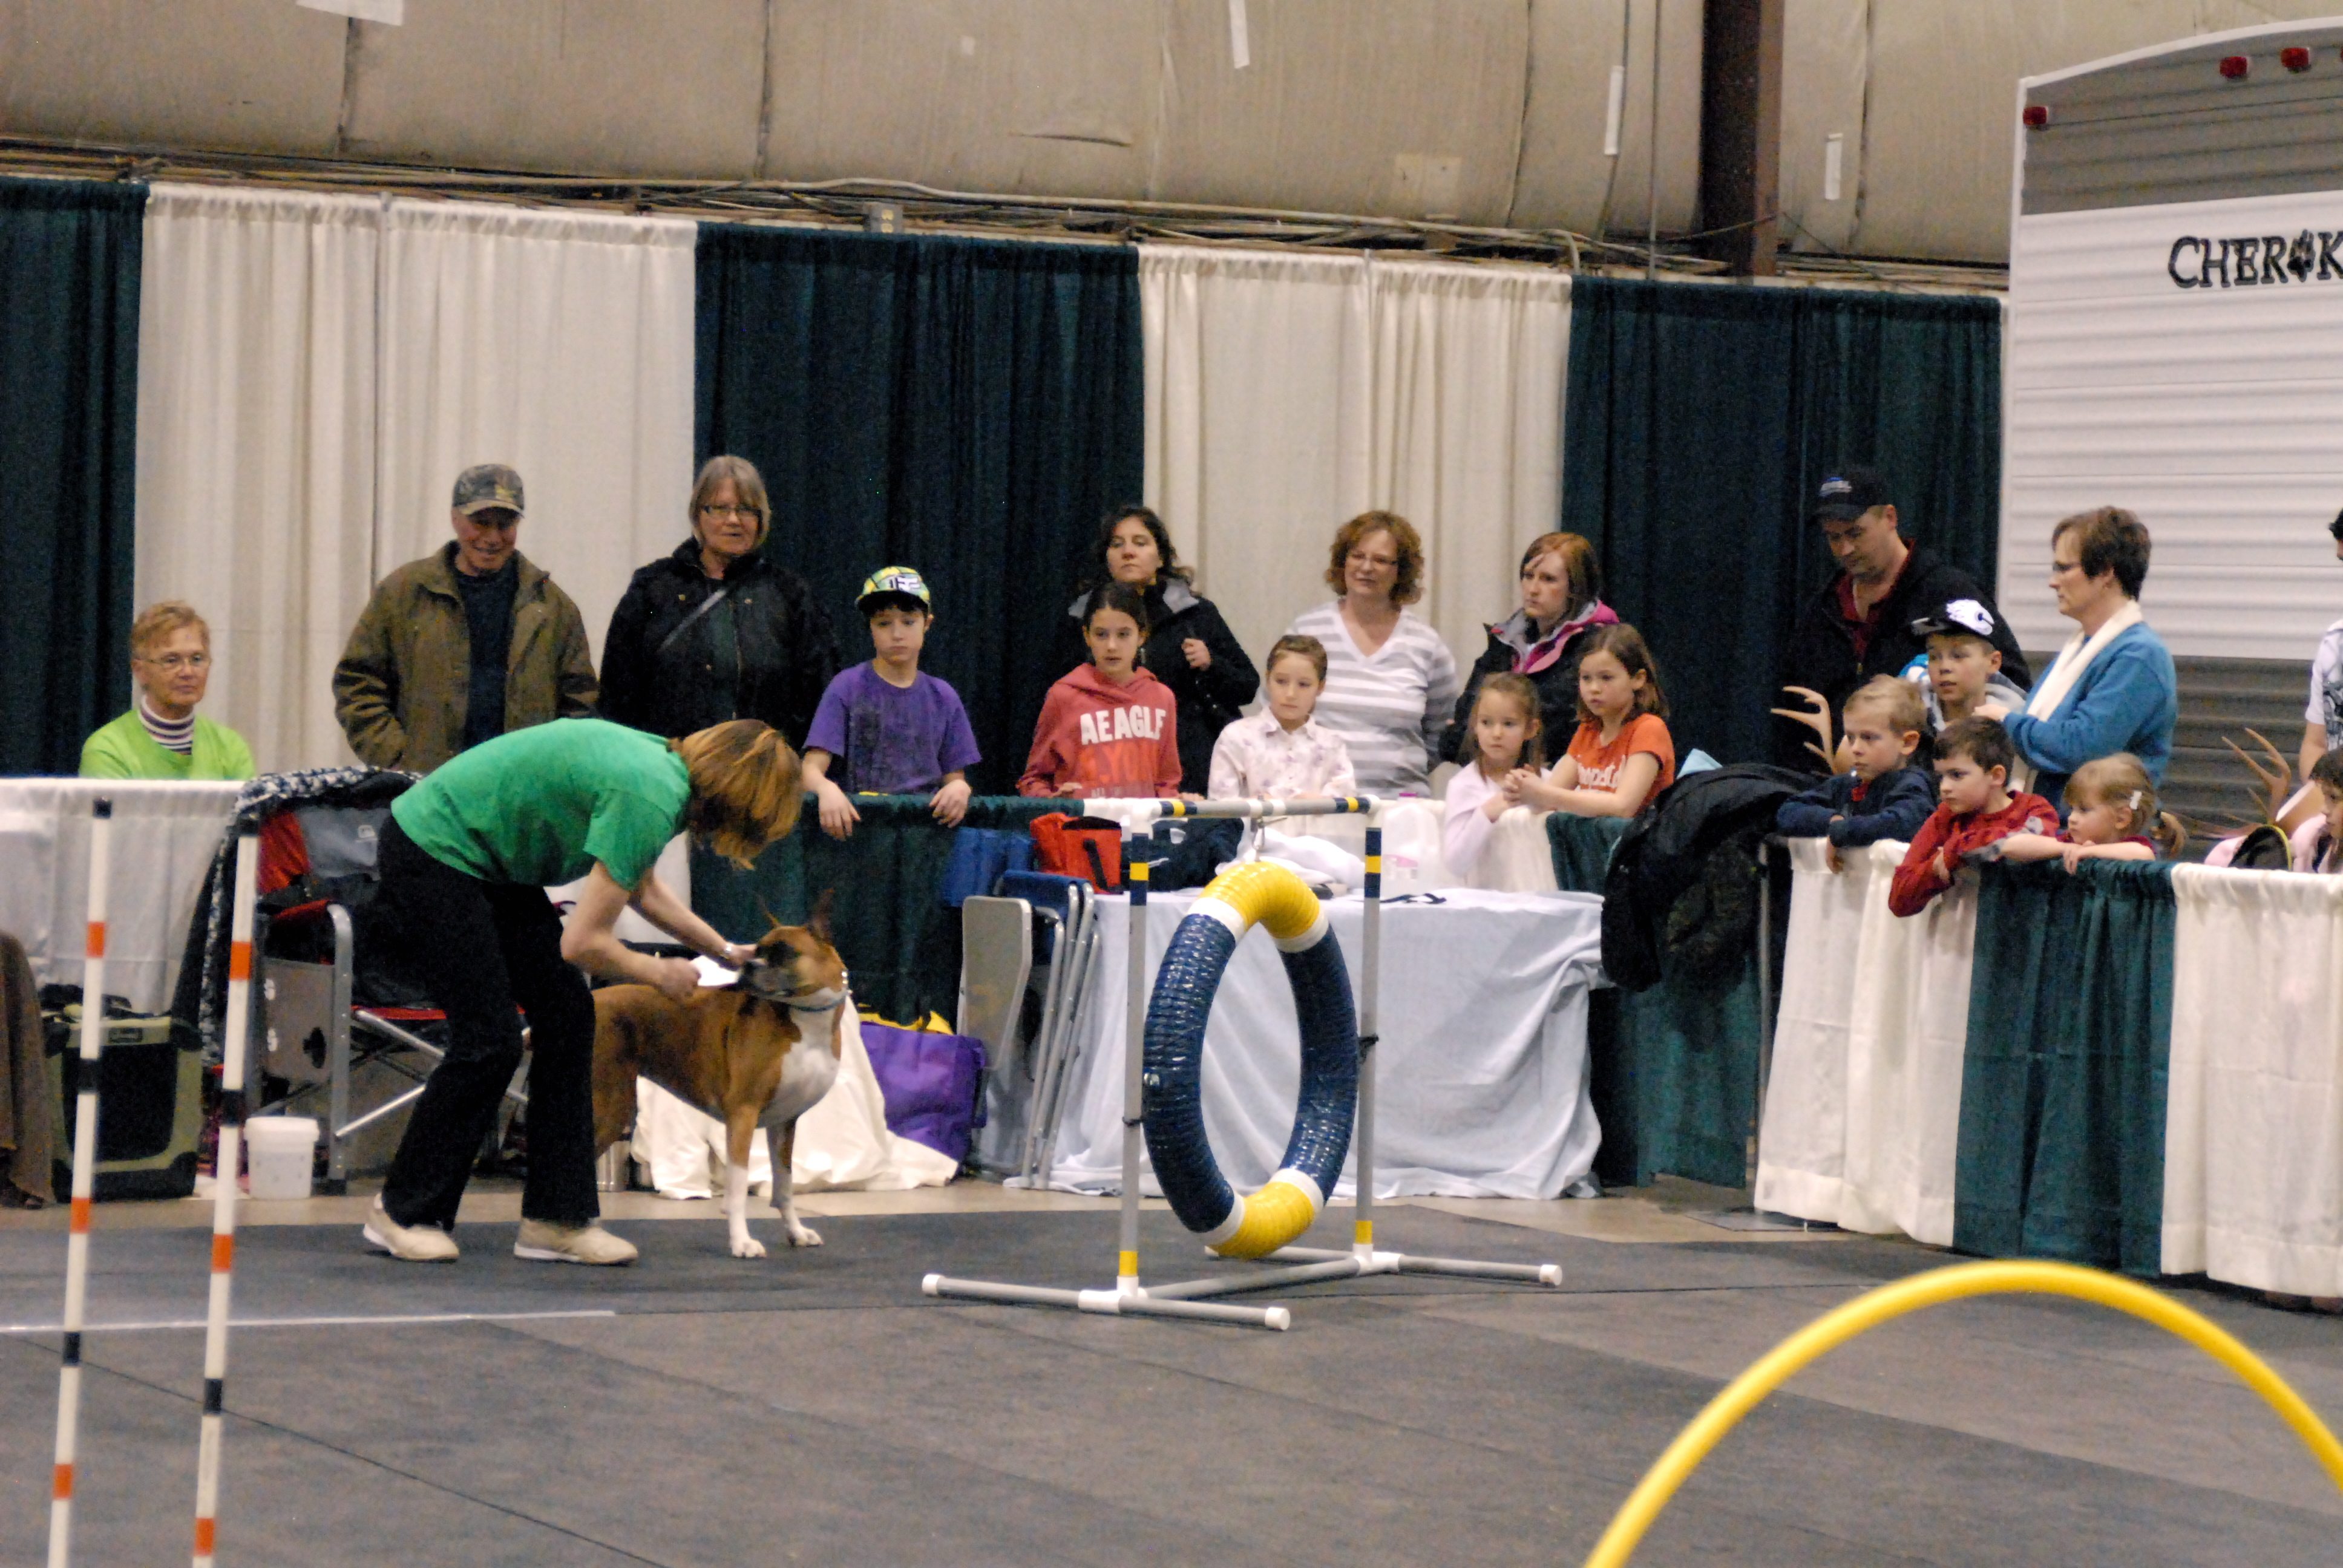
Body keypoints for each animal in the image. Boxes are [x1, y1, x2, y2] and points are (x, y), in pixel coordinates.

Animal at [590, 900, 848, 1256]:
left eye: (784, 952)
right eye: (758, 950)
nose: (748, 966)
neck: (804, 1019)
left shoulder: (785, 1123)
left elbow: (784, 1185)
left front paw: (796, 1232)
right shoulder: (743, 1115)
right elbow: (738, 1187)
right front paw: (742, 1242)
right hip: (610, 1109)